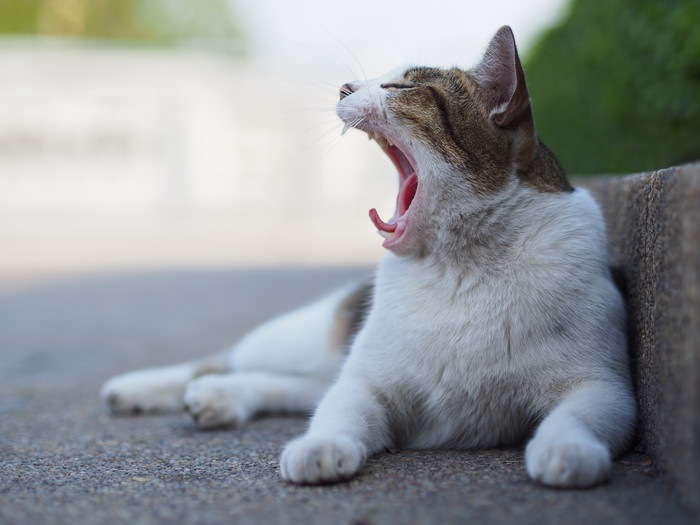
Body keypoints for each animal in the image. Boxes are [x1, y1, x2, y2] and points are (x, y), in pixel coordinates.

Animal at [101, 25, 636, 488]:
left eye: (400, 86)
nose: (343, 87)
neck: (459, 264)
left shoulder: (605, 388)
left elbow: (574, 418)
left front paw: (566, 451)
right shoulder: (368, 382)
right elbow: (337, 412)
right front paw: (320, 448)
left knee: (289, 383)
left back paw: (219, 398)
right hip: (305, 336)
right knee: (227, 360)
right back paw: (140, 389)